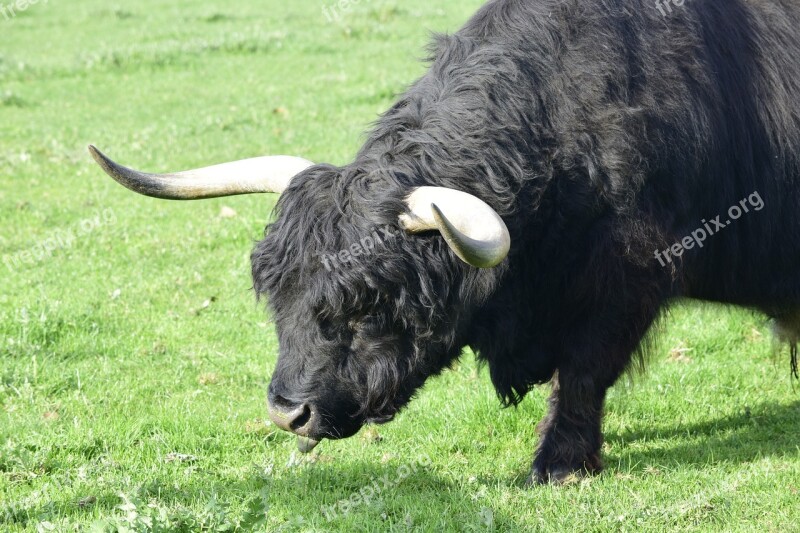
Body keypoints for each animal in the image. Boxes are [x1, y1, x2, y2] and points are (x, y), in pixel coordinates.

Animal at [90, 0, 800, 482]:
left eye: (369, 305)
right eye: (278, 300)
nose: (288, 415)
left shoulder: (629, 275)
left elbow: (583, 371)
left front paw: (559, 463)